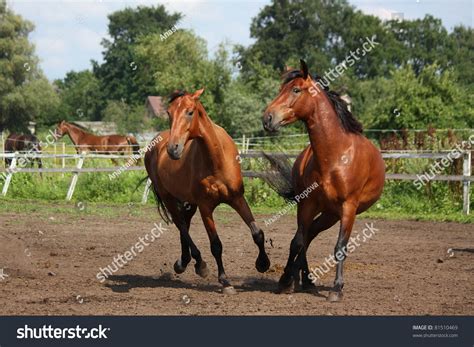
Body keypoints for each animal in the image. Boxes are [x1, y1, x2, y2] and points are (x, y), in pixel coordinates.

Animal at [144, 88, 270, 294]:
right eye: (169, 113)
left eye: (190, 112)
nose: (173, 149)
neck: (216, 159)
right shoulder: (206, 207)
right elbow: (216, 245)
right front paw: (225, 281)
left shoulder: (237, 199)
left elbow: (257, 233)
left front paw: (263, 263)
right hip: (168, 197)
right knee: (180, 224)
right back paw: (198, 263)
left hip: (188, 202)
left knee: (184, 223)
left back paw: (184, 261)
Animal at [262, 61, 386, 304]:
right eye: (281, 88)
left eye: (296, 90)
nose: (267, 118)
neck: (335, 156)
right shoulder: (307, 204)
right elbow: (297, 242)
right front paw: (285, 281)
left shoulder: (348, 208)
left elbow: (340, 247)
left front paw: (336, 289)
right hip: (323, 212)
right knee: (306, 236)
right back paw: (302, 279)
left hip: (331, 215)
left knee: (312, 234)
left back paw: (306, 279)